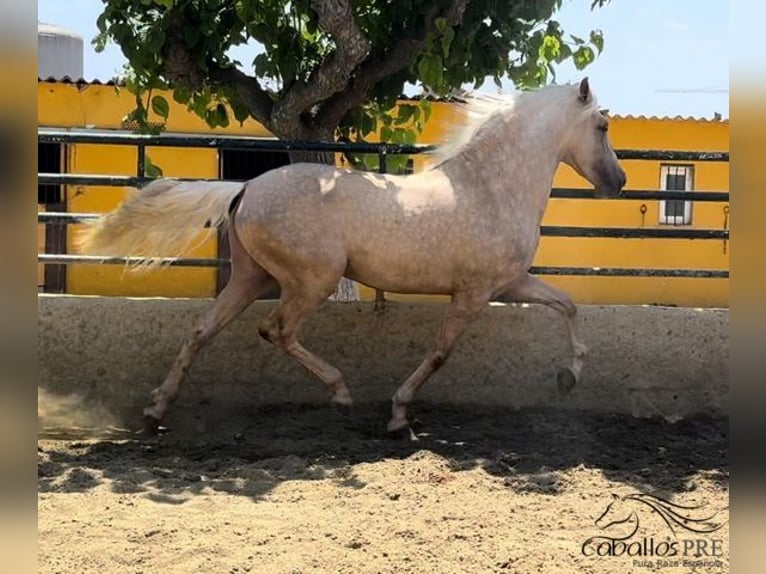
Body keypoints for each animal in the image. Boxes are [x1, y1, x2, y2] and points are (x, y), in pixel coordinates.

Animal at [81, 79, 628, 434]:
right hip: (313, 279)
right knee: (277, 330)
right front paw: (398, 415)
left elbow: (567, 305)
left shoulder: (510, 284)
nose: (618, 182)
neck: (490, 188)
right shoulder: (473, 292)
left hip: (250, 278)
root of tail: (245, 188)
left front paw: (569, 377)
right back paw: (341, 393)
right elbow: (441, 352)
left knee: (202, 331)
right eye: (602, 125)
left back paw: (157, 410)